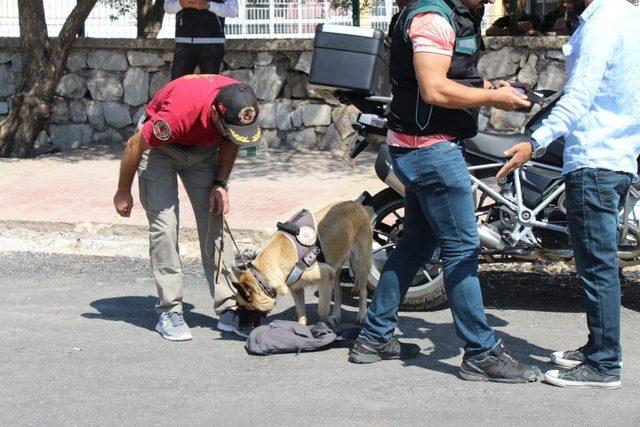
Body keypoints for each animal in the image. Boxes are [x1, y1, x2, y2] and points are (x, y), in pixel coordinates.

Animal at [231, 202, 372, 326]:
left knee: (363, 292)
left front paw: (327, 321)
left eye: (243, 307)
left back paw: (361, 315)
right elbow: (301, 314)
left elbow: (321, 310)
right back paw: (336, 315)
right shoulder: (296, 290)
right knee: (338, 293)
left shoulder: (325, 278)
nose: (240, 327)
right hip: (336, 268)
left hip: (360, 265)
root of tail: (357, 204)